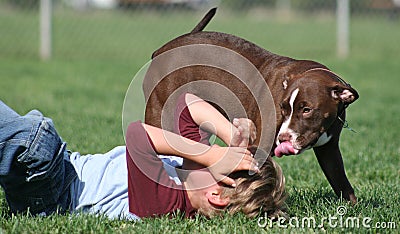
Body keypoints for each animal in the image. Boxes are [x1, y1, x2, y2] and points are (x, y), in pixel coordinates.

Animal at [142, 8, 358, 203]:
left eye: (307, 110)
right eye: (283, 108)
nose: (284, 138)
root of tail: (160, 51)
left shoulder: (329, 151)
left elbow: (342, 184)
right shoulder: (261, 146)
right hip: (160, 115)